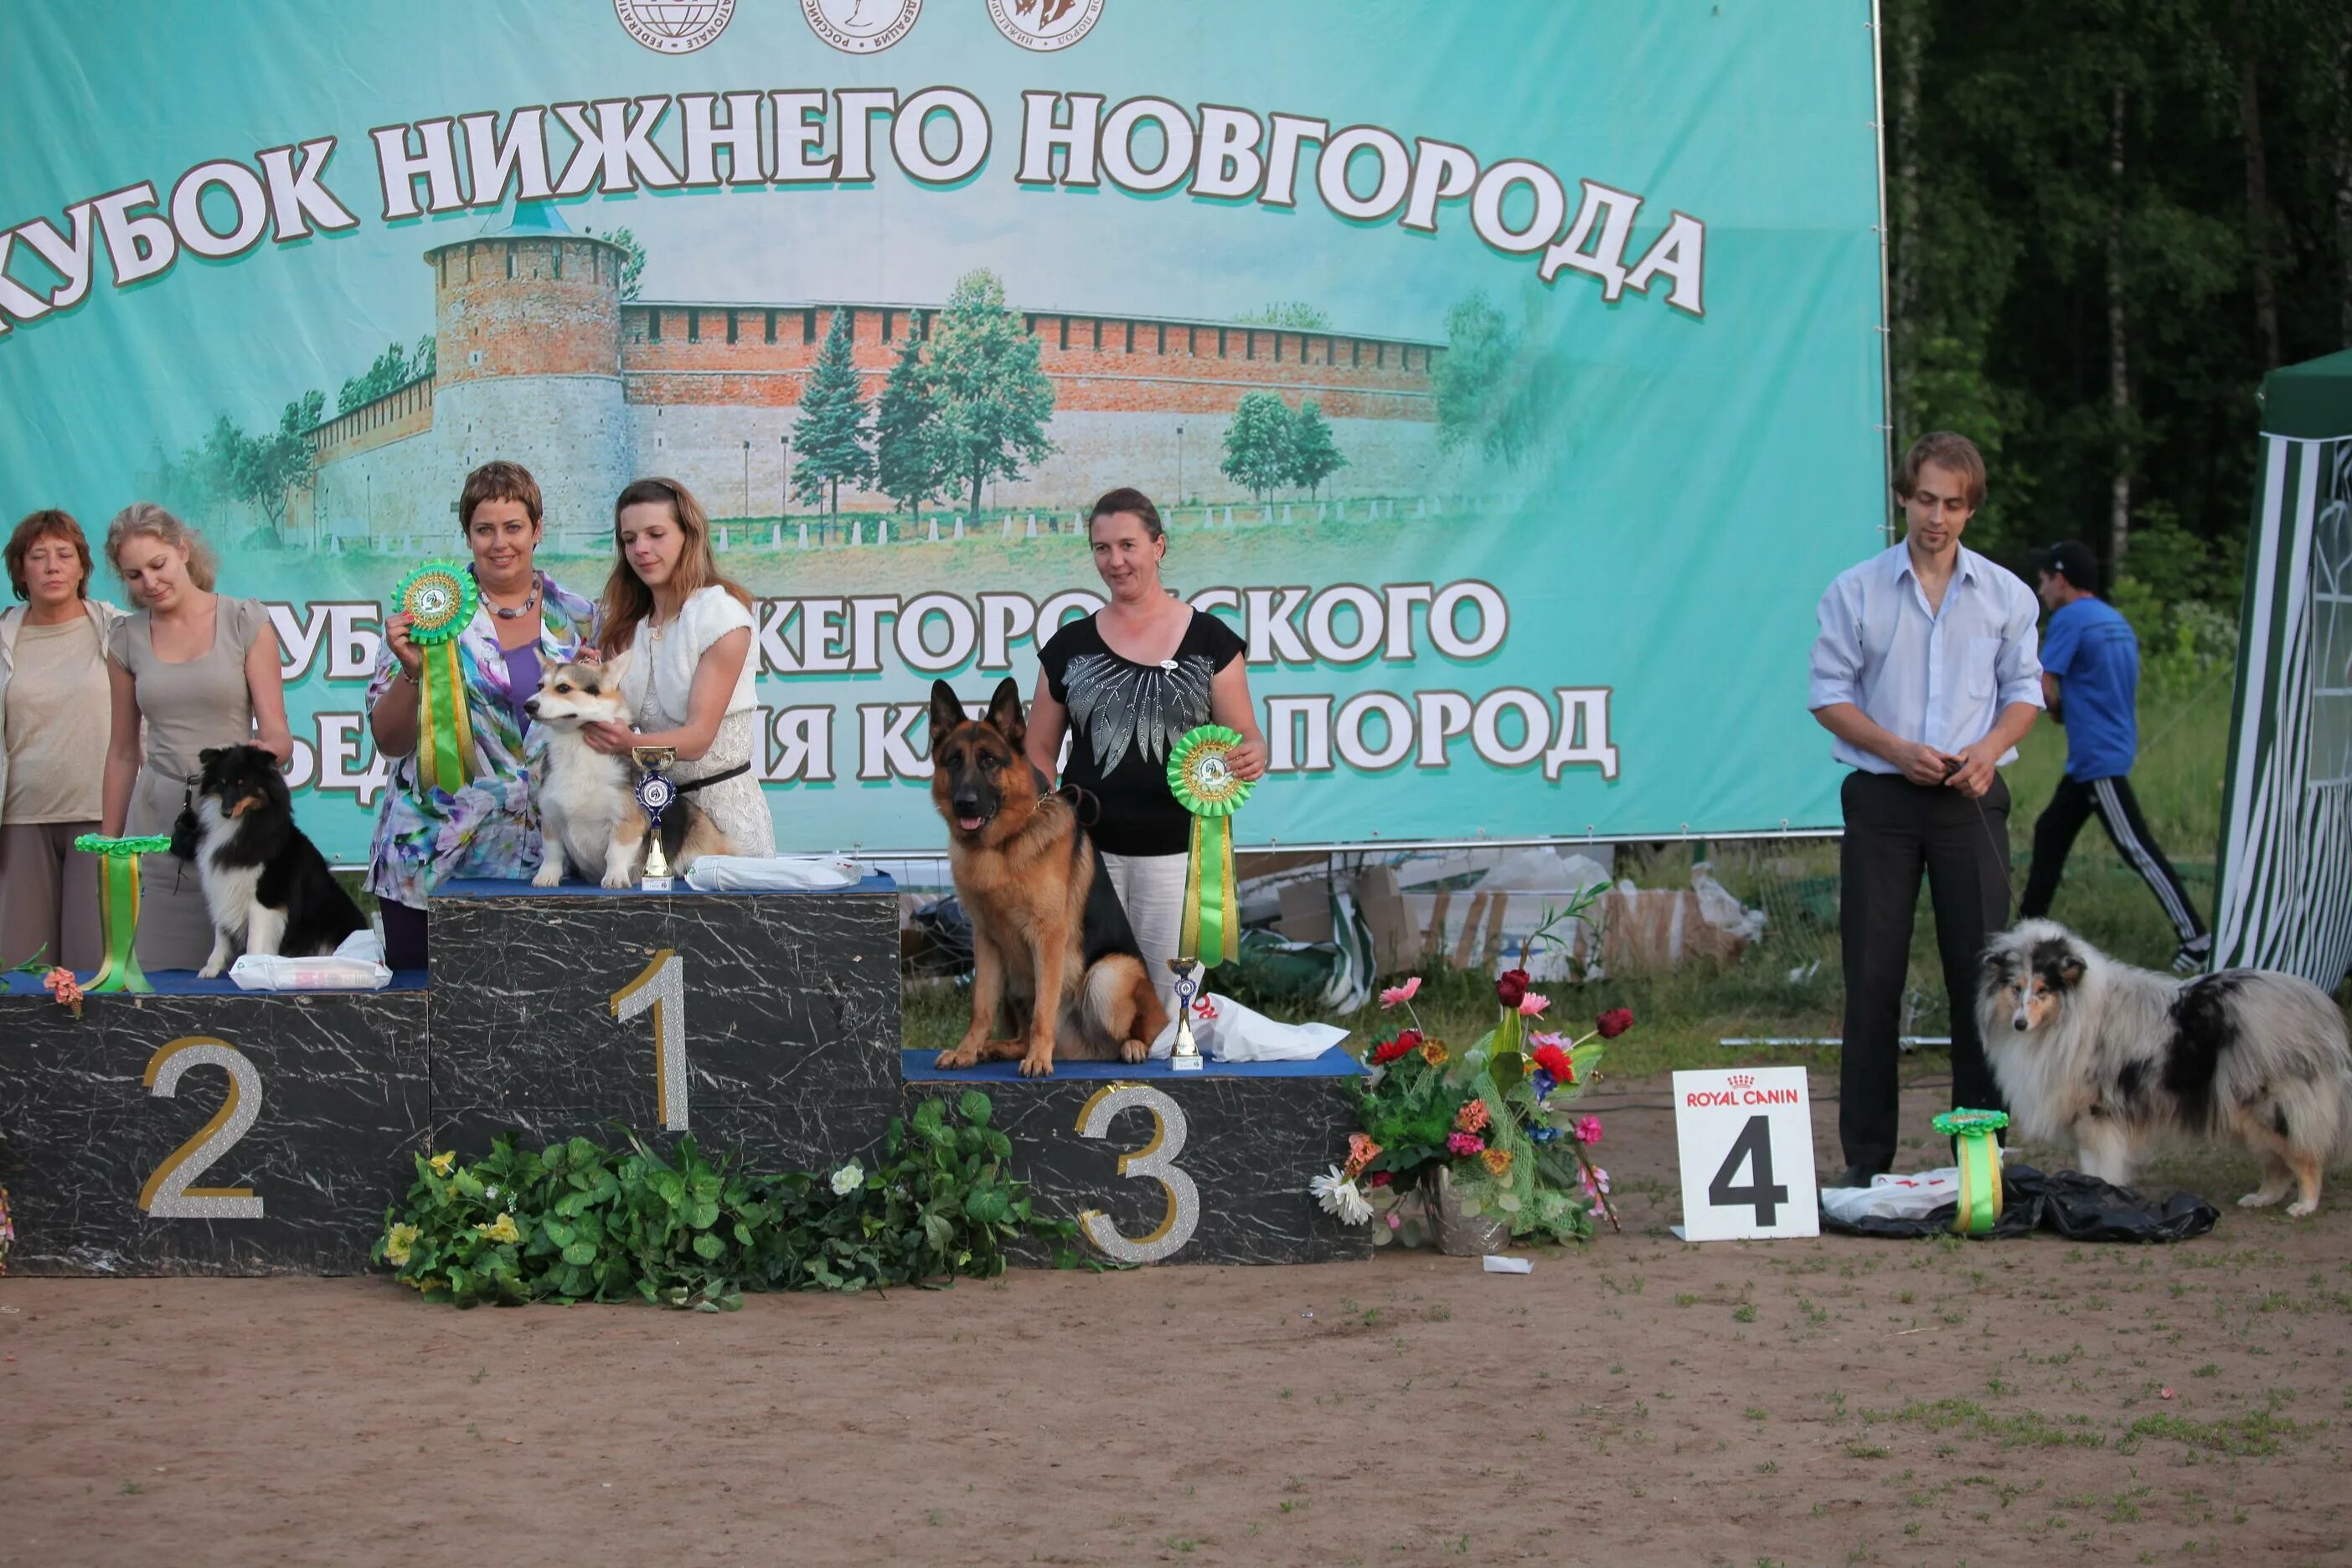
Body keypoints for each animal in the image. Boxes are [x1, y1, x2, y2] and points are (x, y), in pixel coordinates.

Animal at [193, 742, 367, 972]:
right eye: (222, 783)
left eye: (243, 784)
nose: (226, 812)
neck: (244, 825)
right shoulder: (224, 886)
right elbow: (221, 935)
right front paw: (211, 969)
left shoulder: (265, 898)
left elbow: (255, 940)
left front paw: (250, 969)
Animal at [926, 677, 1166, 1081]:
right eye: (953, 761)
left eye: (989, 760)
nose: (965, 803)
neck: (1003, 846)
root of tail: (1080, 1051)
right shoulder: (986, 941)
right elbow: (981, 1007)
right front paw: (966, 1051)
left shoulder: (1048, 938)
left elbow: (1043, 1009)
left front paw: (1038, 1058)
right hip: (1015, 979)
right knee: (1019, 1031)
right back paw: (997, 1048)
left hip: (1109, 973)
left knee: (1149, 1027)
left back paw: (1132, 1046)